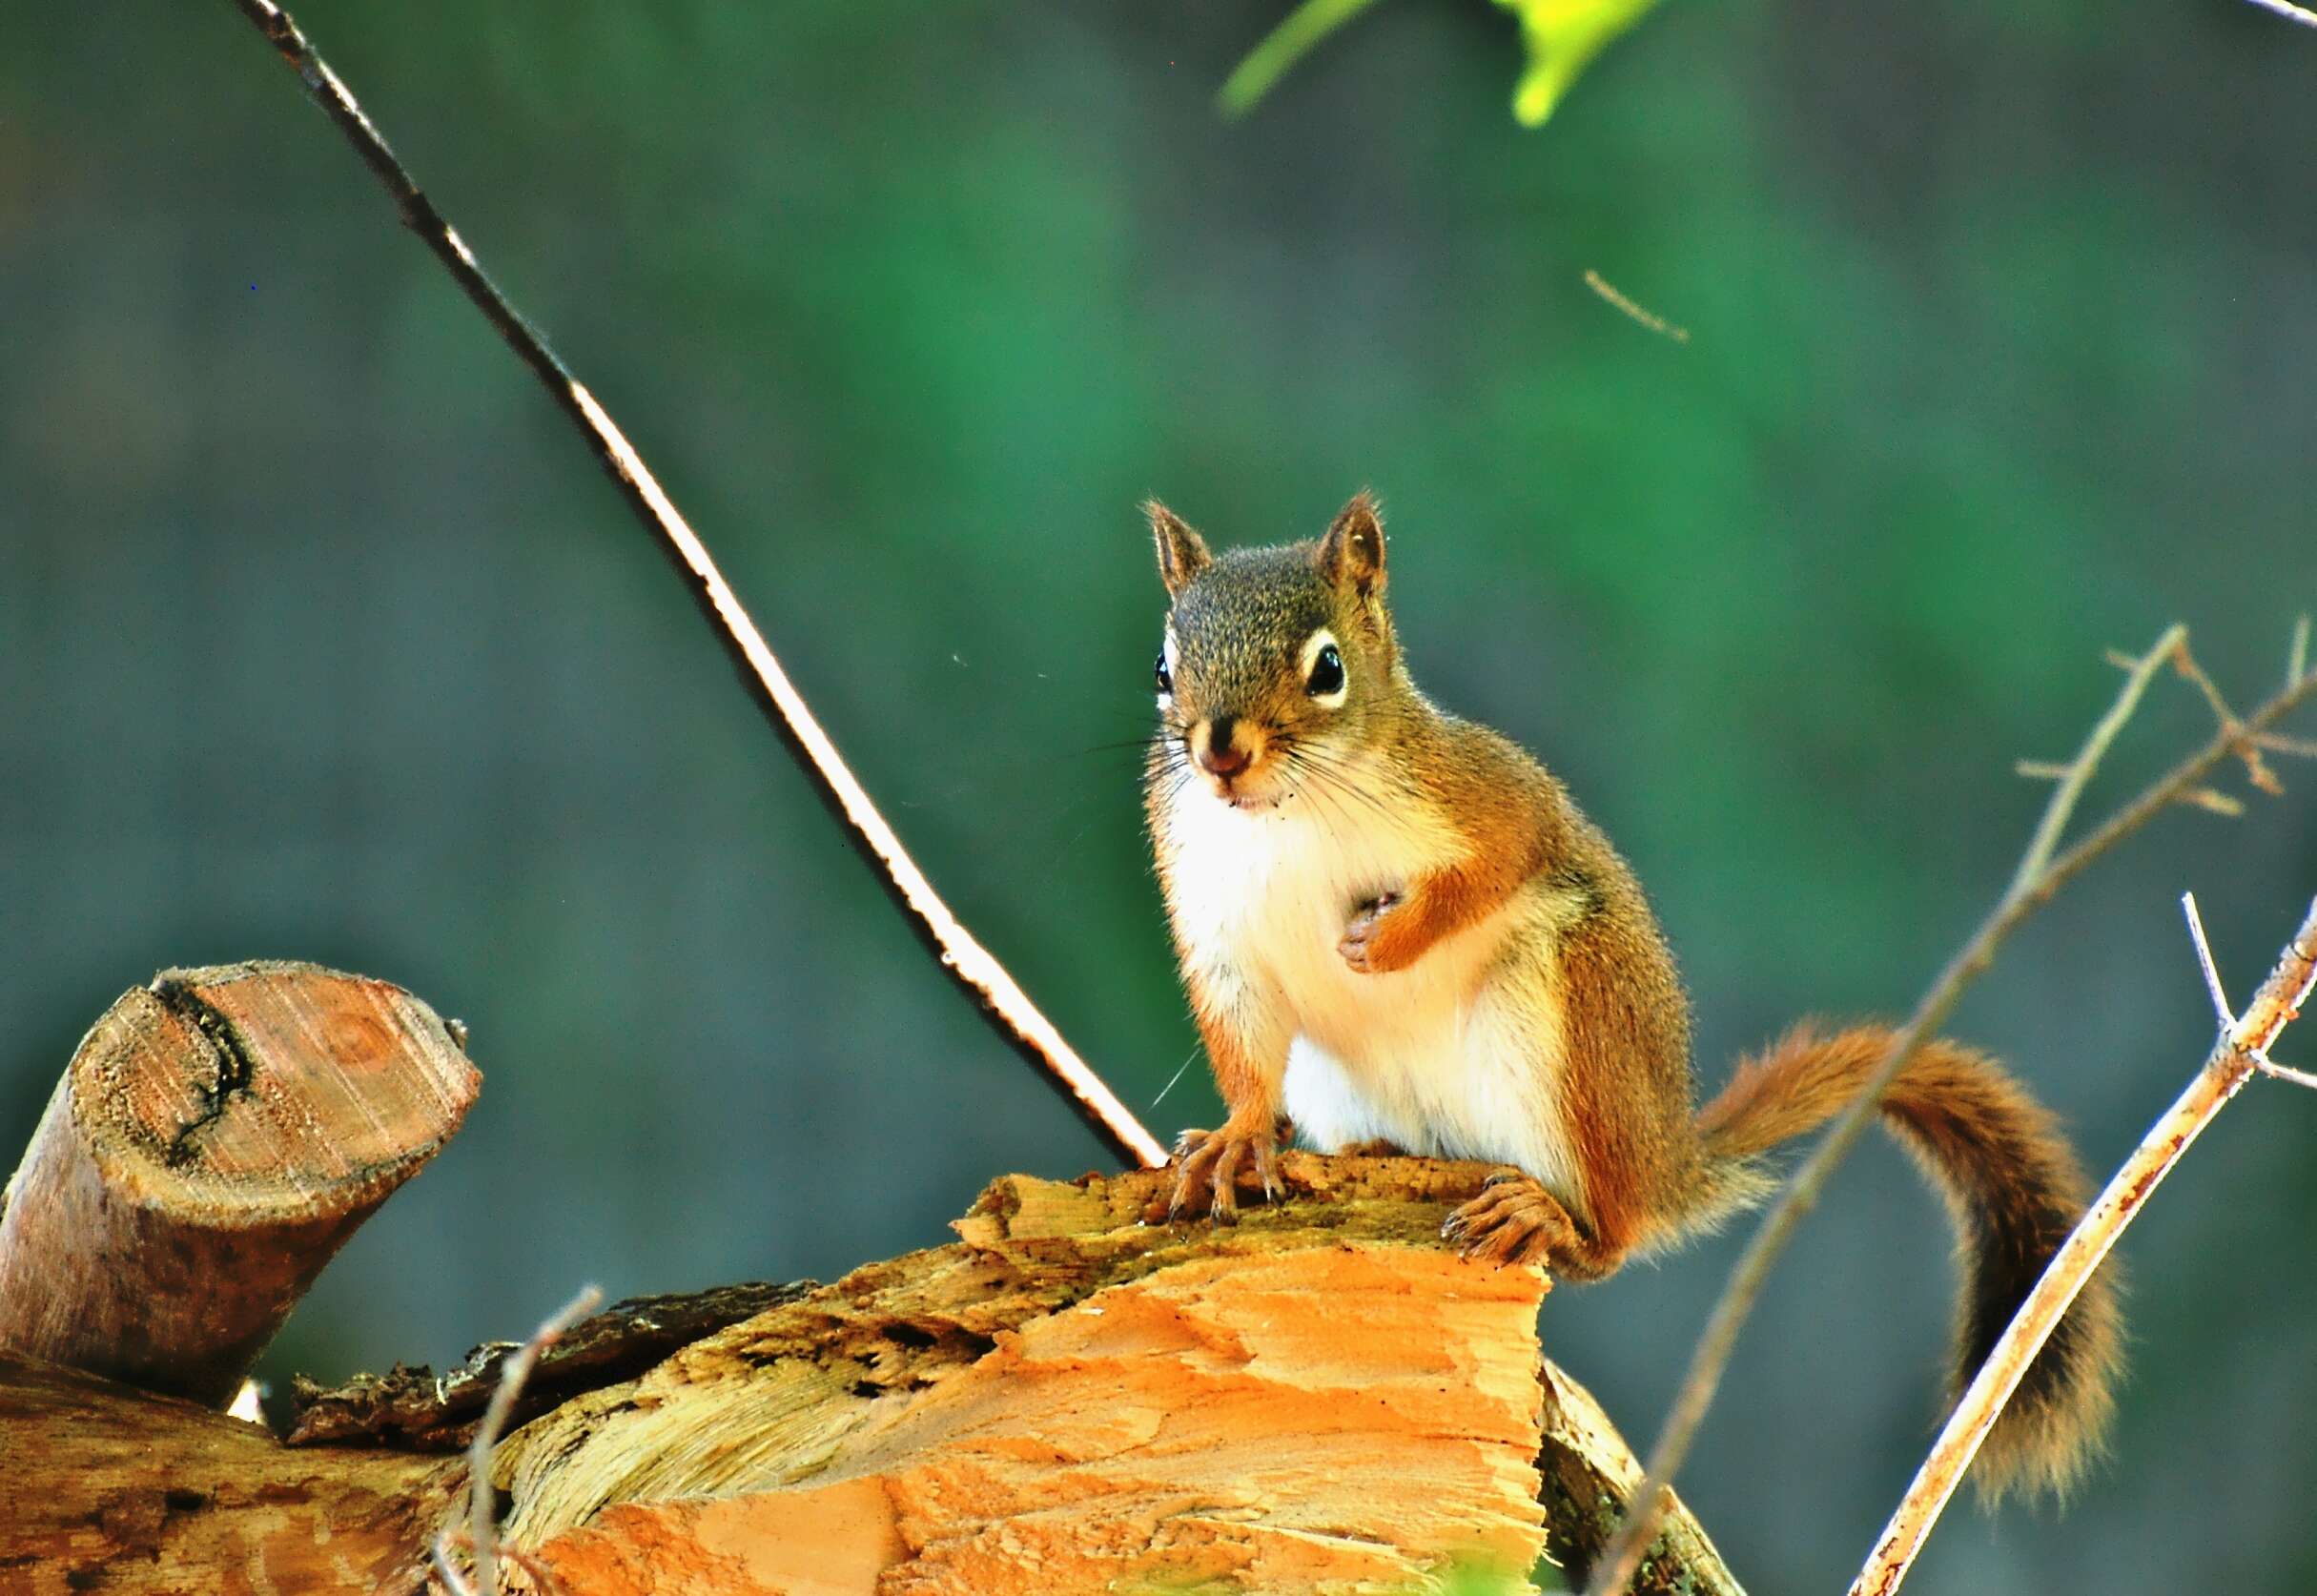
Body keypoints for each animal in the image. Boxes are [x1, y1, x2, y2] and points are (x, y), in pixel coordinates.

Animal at [1139, 488, 2122, 1491]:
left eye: (1328, 668)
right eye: (1165, 667)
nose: (1219, 753)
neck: (1286, 817)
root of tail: (1663, 1159)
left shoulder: (1484, 798)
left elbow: (1497, 864)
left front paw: (1387, 941)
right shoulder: (1210, 913)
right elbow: (1240, 1039)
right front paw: (1233, 1141)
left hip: (1575, 1024)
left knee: (1608, 1242)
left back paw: (1550, 1217)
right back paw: (1373, 1149)